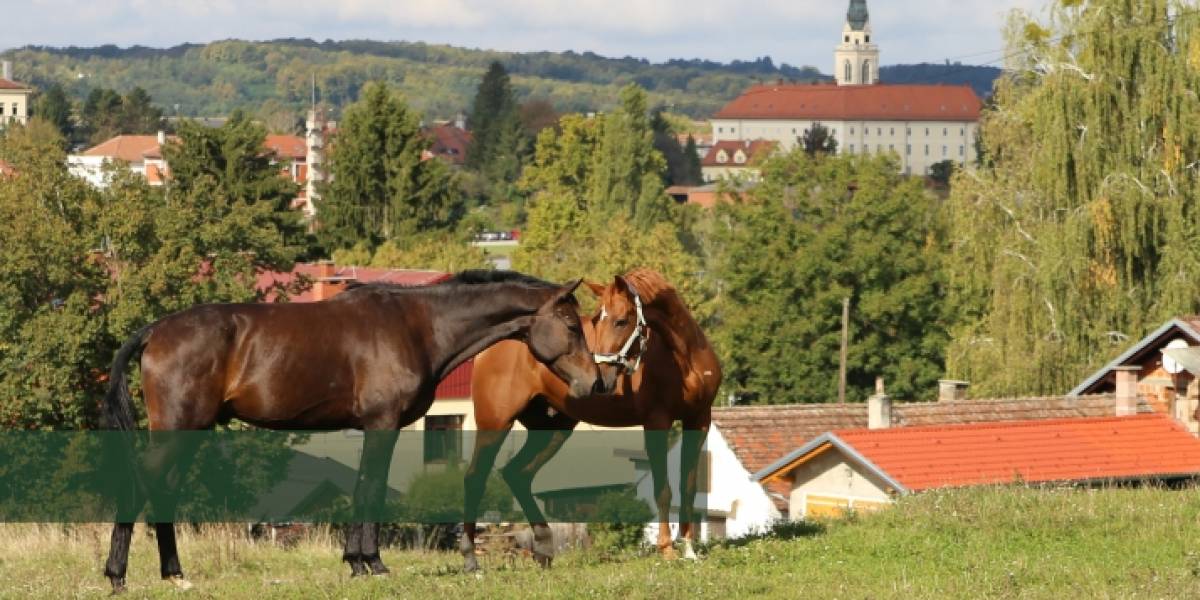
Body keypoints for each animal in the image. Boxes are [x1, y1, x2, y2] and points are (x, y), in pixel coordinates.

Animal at [98, 271, 604, 590]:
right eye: (570, 324)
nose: (594, 382)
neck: (418, 325)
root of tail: (155, 331)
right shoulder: (383, 425)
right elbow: (371, 487)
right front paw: (372, 562)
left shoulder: (374, 428)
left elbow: (364, 486)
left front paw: (355, 561)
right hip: (177, 431)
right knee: (141, 486)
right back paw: (117, 574)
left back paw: (174, 573)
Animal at [458, 270, 720, 568]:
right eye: (597, 319)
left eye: (621, 320)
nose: (602, 377)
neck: (683, 358)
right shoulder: (657, 422)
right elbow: (662, 489)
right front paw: (666, 549)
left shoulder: (698, 420)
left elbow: (688, 488)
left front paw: (689, 549)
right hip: (496, 422)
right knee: (475, 477)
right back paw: (471, 558)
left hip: (553, 428)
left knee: (517, 473)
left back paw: (543, 549)